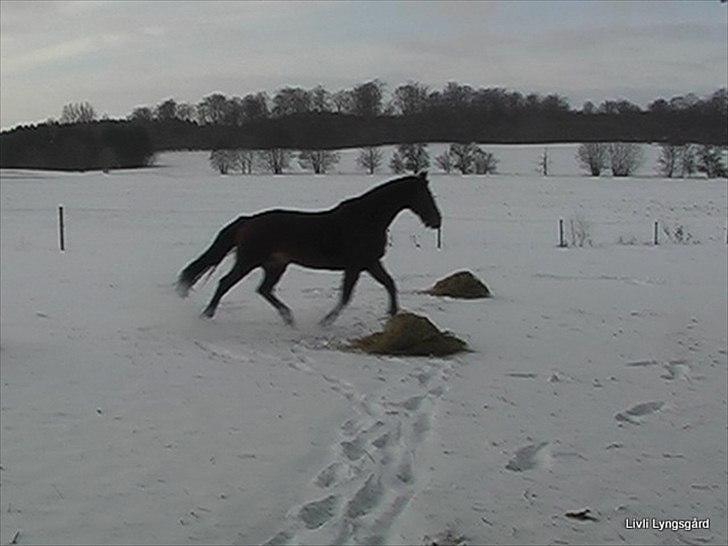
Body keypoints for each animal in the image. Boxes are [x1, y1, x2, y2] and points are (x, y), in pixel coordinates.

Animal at [175, 171, 444, 324]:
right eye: (426, 195)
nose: (437, 220)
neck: (367, 218)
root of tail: (248, 221)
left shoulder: (369, 263)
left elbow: (389, 284)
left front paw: (393, 314)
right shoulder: (357, 265)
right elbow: (346, 295)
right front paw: (325, 322)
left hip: (275, 265)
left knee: (264, 289)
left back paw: (288, 317)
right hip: (249, 261)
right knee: (226, 283)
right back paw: (207, 314)